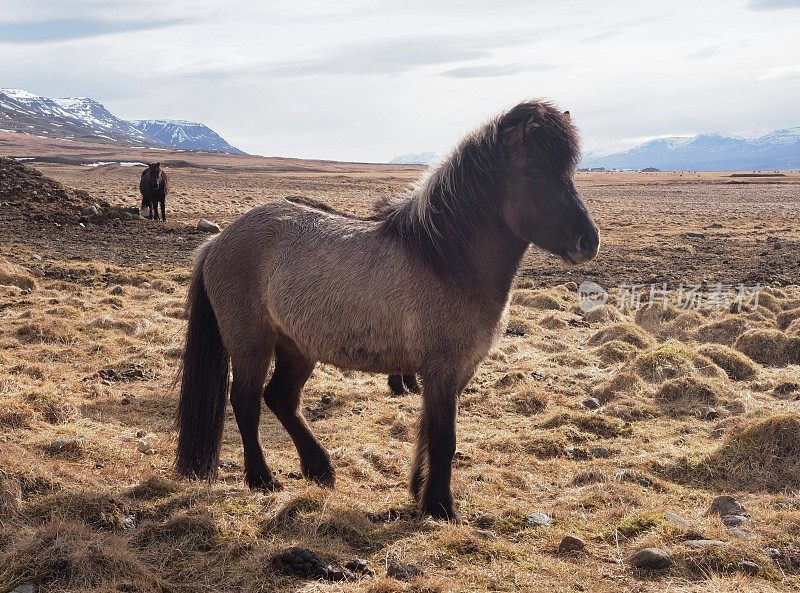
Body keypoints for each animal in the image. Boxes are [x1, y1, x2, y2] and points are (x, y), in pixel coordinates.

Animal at [177, 99, 600, 520]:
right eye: (534, 170)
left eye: (569, 171)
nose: (588, 241)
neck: (444, 260)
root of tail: (218, 241)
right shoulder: (442, 370)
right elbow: (444, 438)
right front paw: (440, 506)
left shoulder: (455, 372)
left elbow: (427, 430)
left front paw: (419, 491)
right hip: (251, 343)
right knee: (246, 403)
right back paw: (262, 478)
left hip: (296, 346)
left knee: (281, 399)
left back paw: (319, 468)